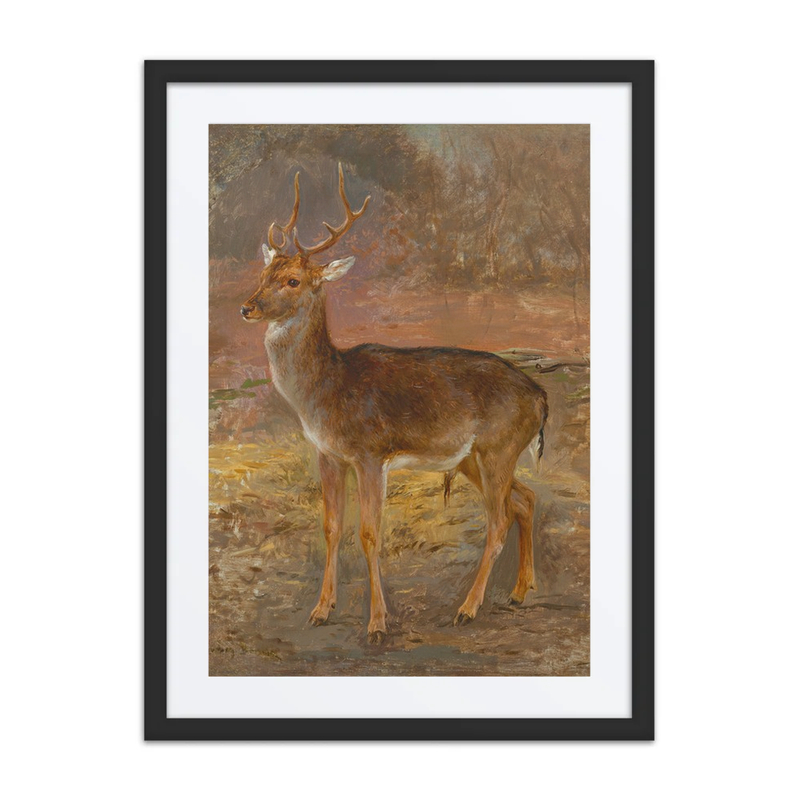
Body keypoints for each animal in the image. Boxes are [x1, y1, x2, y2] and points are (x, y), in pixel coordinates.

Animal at [241, 164, 548, 644]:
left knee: (498, 520)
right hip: (475, 457)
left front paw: (377, 623)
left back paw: (467, 608)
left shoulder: (371, 452)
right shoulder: (327, 454)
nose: (247, 307)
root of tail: (541, 397)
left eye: (293, 280)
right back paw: (518, 592)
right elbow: (331, 527)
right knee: (526, 499)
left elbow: (369, 533)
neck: (328, 391)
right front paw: (320, 610)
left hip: (499, 447)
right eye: (263, 274)